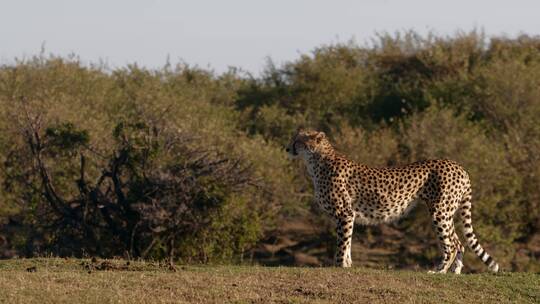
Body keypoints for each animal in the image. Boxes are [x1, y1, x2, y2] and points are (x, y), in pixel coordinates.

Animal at [284, 128, 500, 274]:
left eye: (297, 140)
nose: (287, 148)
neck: (316, 161)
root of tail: (458, 165)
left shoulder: (344, 213)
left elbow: (343, 243)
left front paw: (339, 266)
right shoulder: (349, 215)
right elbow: (348, 242)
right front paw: (348, 265)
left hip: (440, 211)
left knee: (452, 244)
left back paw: (439, 270)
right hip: (447, 211)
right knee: (459, 242)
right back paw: (454, 272)